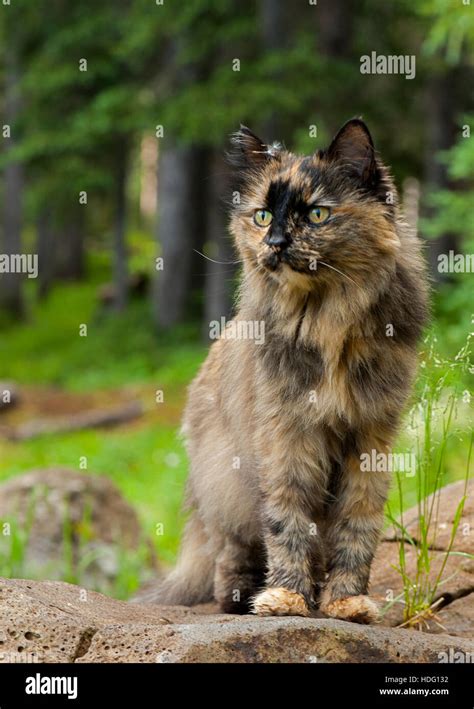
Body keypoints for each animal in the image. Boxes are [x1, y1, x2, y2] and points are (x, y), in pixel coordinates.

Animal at [150, 119, 428, 624]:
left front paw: (346, 602)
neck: (326, 319)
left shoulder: (370, 439)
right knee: (229, 556)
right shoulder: (287, 436)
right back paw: (245, 597)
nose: (276, 244)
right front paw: (286, 598)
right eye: (262, 217)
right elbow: (287, 523)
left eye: (316, 215)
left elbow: (357, 528)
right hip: (229, 489)